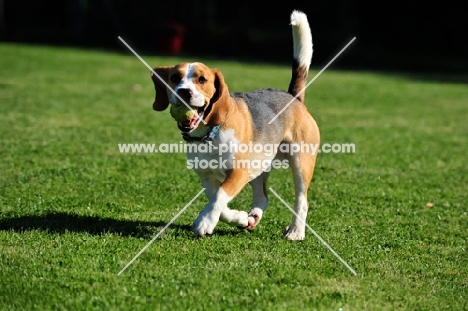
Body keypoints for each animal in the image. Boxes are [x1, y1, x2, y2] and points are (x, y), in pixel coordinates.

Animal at [150, 9, 318, 241]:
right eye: (175, 77)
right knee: (263, 197)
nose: (184, 91)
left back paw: (296, 231)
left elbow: (219, 197)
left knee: (302, 200)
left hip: (301, 162)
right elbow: (217, 201)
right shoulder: (207, 176)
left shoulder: (238, 172)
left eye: (202, 80)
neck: (209, 135)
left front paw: (204, 222)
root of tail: (294, 98)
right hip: (258, 166)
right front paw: (238, 218)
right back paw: (252, 218)